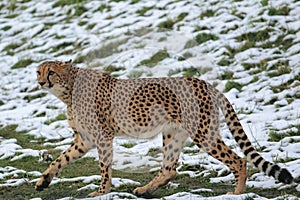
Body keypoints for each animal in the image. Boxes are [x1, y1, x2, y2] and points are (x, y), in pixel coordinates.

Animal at [35, 59, 292, 197]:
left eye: (52, 72)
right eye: (39, 71)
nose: (40, 81)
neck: (69, 89)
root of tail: (203, 82)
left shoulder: (102, 136)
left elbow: (104, 167)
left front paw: (102, 191)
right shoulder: (84, 139)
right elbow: (59, 160)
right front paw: (43, 181)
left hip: (202, 133)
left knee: (239, 160)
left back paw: (237, 193)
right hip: (173, 133)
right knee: (169, 169)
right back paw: (144, 191)